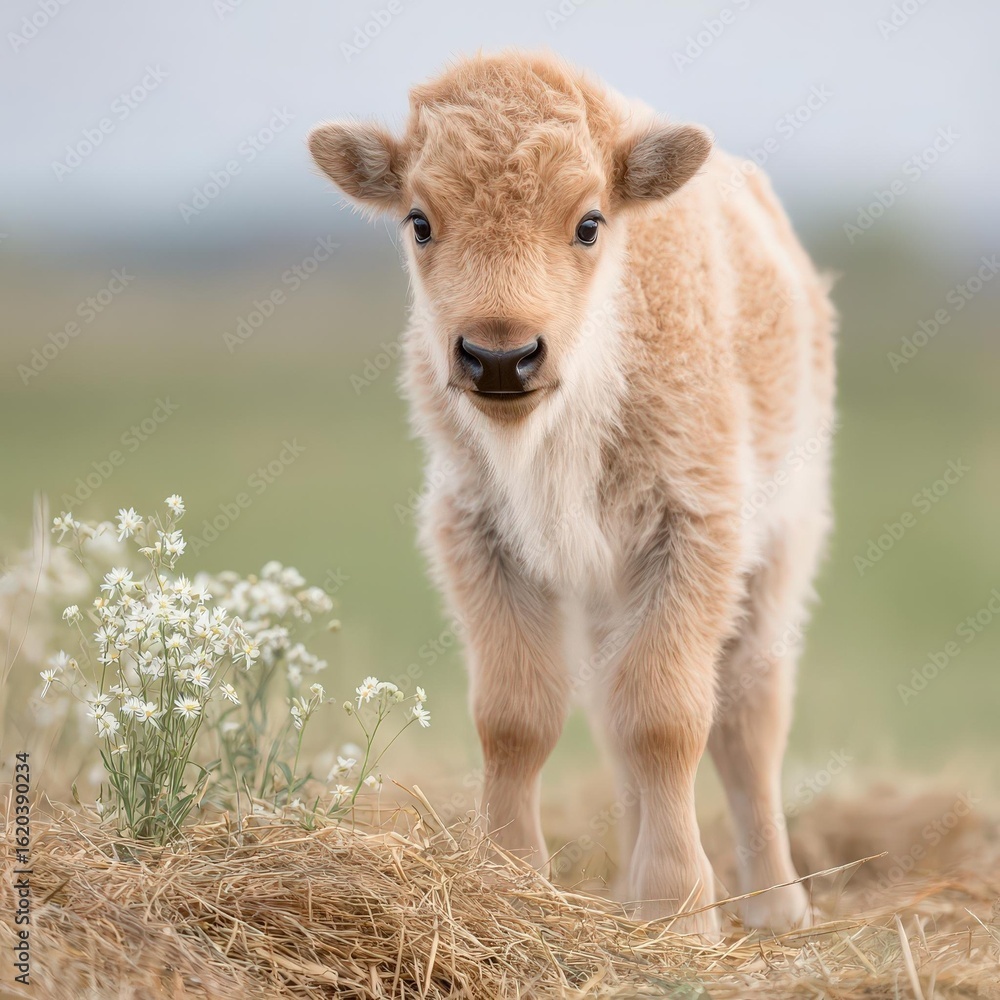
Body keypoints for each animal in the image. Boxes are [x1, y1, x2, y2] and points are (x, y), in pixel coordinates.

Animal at [309, 50, 836, 936]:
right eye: (419, 221)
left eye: (589, 222)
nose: (499, 356)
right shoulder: (478, 531)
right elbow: (517, 715)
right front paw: (509, 875)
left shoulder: (695, 529)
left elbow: (667, 717)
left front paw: (679, 909)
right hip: (603, 592)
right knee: (616, 713)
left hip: (780, 543)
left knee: (748, 714)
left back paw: (775, 906)